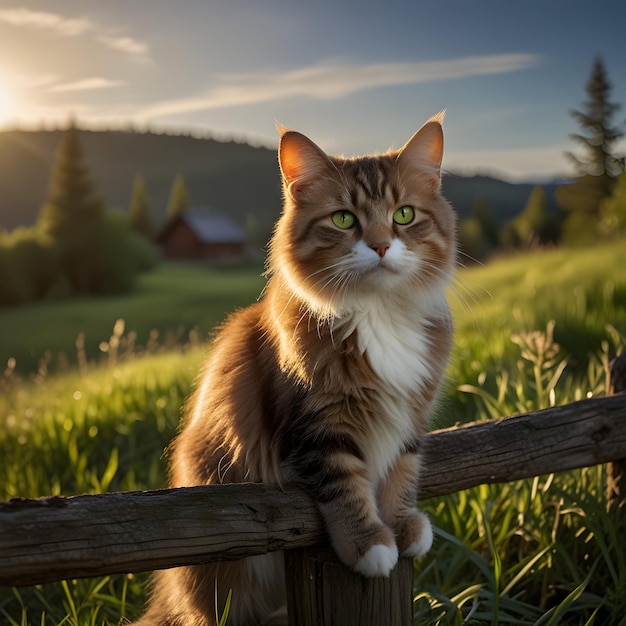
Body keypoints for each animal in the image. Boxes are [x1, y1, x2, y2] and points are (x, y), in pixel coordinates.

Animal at [132, 113, 454, 624]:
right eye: (343, 219)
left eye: (404, 214)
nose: (381, 245)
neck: (378, 312)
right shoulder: (316, 425)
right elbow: (345, 485)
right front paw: (370, 544)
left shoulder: (411, 417)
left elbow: (401, 475)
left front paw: (403, 526)